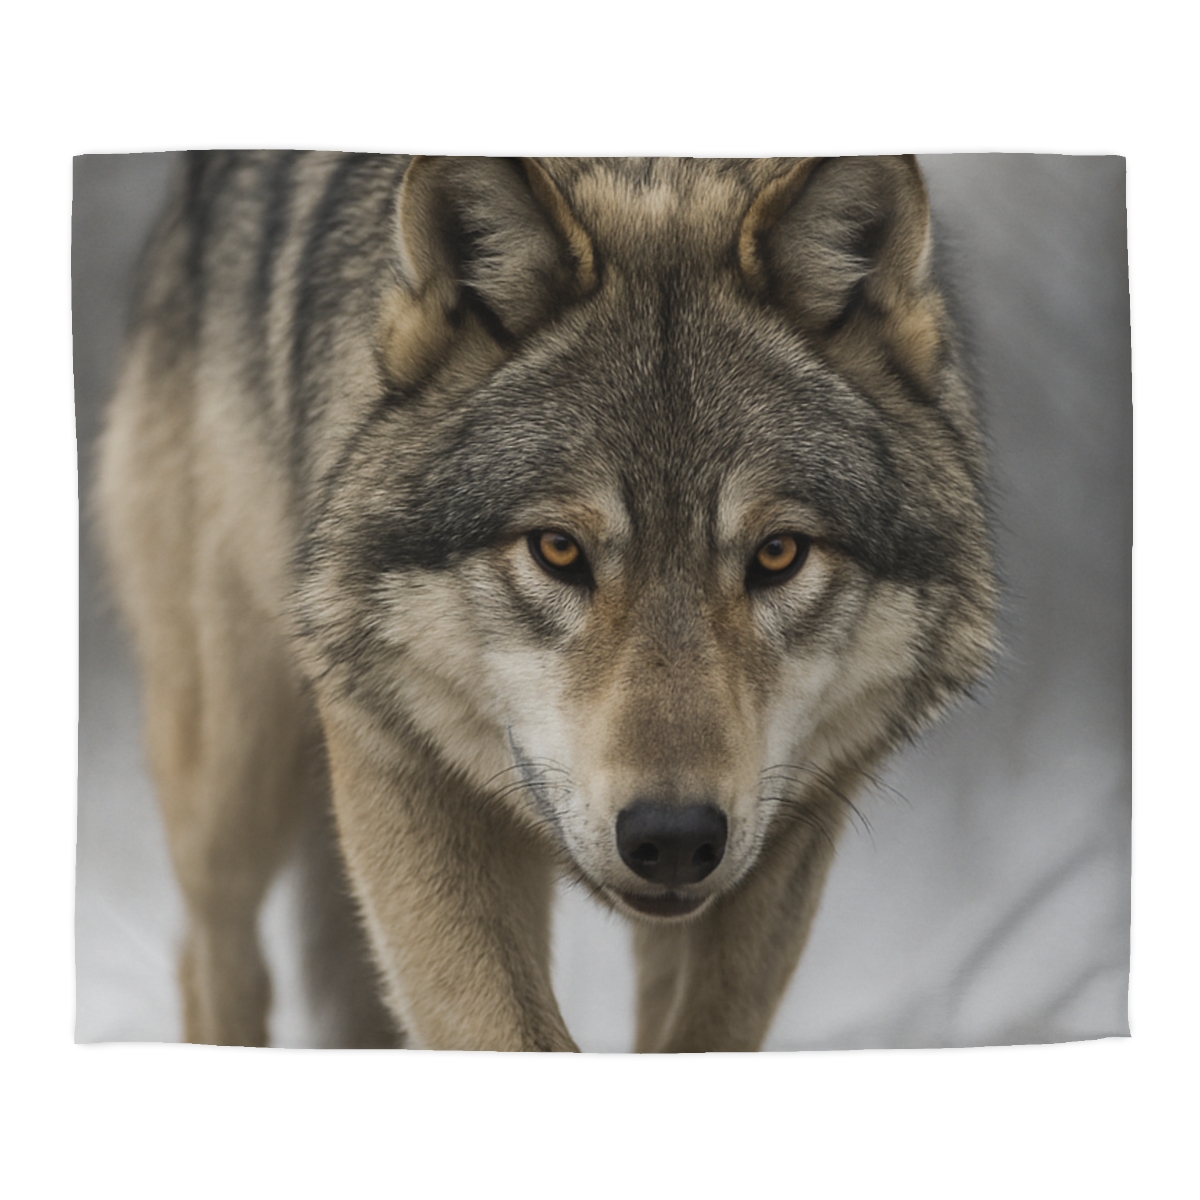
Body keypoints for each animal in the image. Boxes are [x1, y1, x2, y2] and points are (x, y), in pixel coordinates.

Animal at [95, 154, 997, 1052]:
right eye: (558, 550)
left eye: (778, 555)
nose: (673, 838)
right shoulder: (400, 767)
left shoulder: (790, 833)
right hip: (231, 775)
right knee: (215, 955)